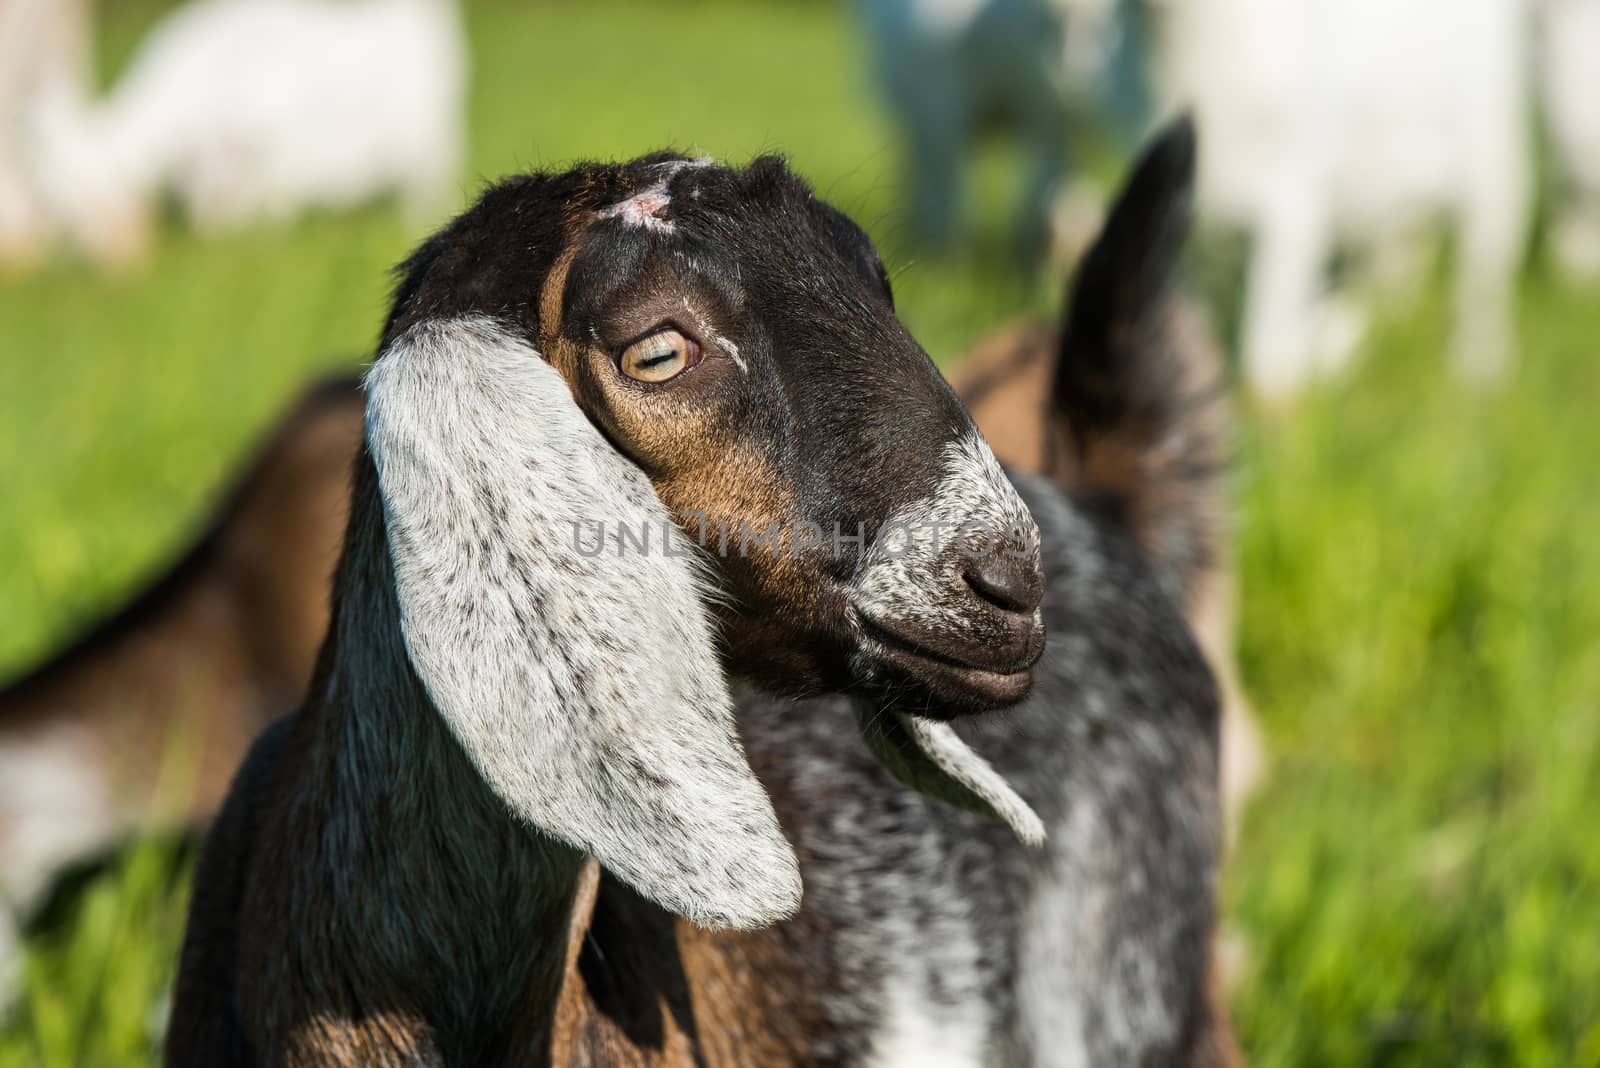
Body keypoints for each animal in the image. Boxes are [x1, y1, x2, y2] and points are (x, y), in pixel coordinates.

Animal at [25, 0, 467, 265]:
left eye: (72, 190)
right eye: (50, 195)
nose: (113, 260)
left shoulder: (269, 163)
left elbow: (260, 219)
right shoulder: (211, 177)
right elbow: (211, 222)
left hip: (430, 141)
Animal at [1164, 0, 1536, 396]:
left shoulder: (1295, 204)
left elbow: (1268, 363)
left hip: (1491, 153)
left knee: (1484, 265)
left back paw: (1478, 367)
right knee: (1403, 252)